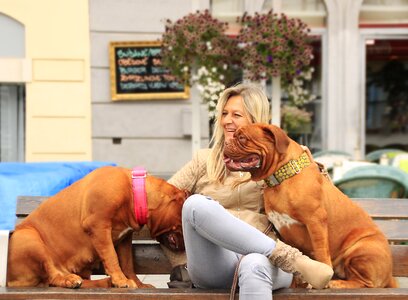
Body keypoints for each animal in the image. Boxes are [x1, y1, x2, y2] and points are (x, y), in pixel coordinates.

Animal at [6, 166, 188, 288]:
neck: (135, 193)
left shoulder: (125, 238)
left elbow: (127, 263)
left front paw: (136, 283)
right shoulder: (98, 225)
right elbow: (112, 257)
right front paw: (120, 280)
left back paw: (103, 282)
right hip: (29, 238)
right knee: (52, 275)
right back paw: (69, 279)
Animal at [225, 122, 396, 288]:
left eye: (242, 138)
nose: (226, 142)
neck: (282, 177)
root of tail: (390, 276)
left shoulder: (315, 221)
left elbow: (321, 251)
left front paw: (323, 274)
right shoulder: (284, 232)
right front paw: (294, 284)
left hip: (361, 249)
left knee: (367, 283)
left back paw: (337, 283)